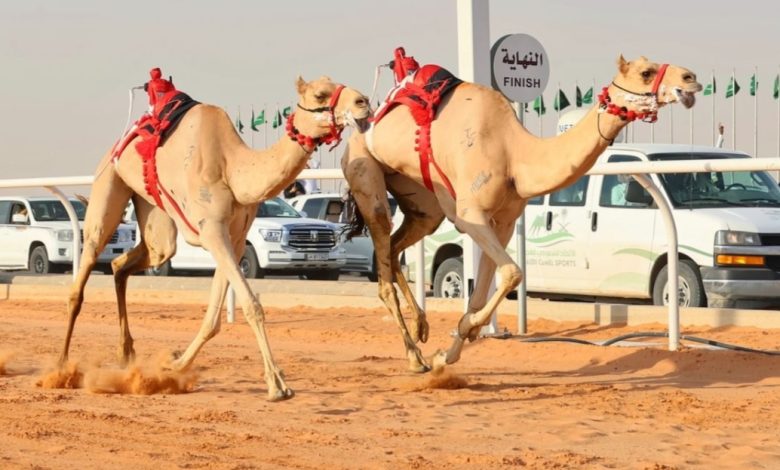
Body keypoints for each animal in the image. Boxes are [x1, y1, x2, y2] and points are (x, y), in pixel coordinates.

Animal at [59, 73, 370, 400]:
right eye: (321, 94)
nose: (363, 103)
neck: (233, 170)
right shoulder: (212, 230)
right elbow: (251, 305)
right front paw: (277, 385)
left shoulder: (234, 238)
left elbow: (213, 319)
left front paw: (173, 364)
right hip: (109, 183)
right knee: (84, 273)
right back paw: (62, 368)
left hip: (155, 217)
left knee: (128, 263)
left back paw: (126, 353)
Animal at [344, 54, 704, 370]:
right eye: (646, 72)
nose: (691, 79)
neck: (514, 154)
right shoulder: (470, 213)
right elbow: (513, 273)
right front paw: (465, 333)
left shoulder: (503, 219)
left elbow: (484, 290)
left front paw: (449, 352)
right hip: (366, 174)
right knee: (383, 261)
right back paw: (414, 358)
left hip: (422, 202)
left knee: (395, 247)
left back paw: (422, 329)